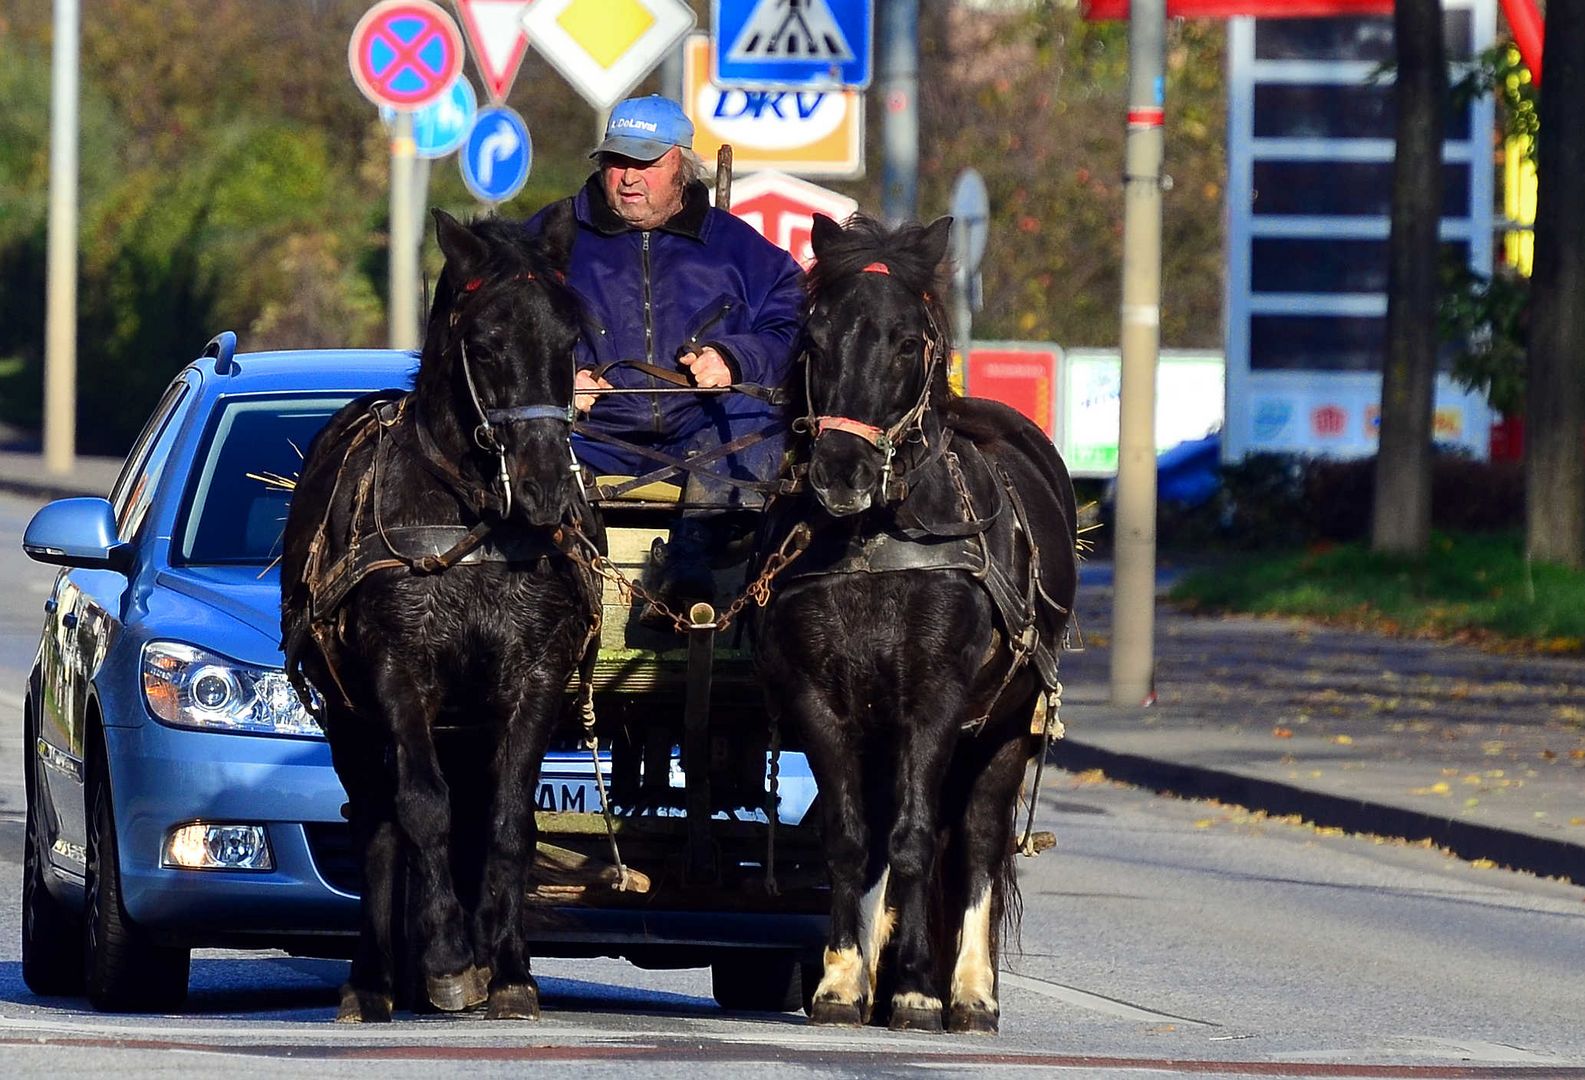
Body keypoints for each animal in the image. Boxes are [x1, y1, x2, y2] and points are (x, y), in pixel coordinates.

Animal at [278, 207, 599, 1021]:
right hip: (350, 715)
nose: (547, 487)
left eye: (569, 342)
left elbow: (509, 820)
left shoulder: (535, 676)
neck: (473, 524)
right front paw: (452, 961)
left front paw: (506, 968)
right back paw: (373, 979)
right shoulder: (397, 671)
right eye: (482, 345)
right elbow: (422, 807)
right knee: (379, 820)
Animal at [751, 210, 1077, 1027]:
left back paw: (968, 990)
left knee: (977, 840)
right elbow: (847, 838)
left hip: (1002, 727)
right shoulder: (822, 701)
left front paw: (919, 990)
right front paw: (843, 980)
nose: (841, 471)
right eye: (815, 336)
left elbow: (917, 839)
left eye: (906, 341)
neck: (875, 539)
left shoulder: (934, 702)